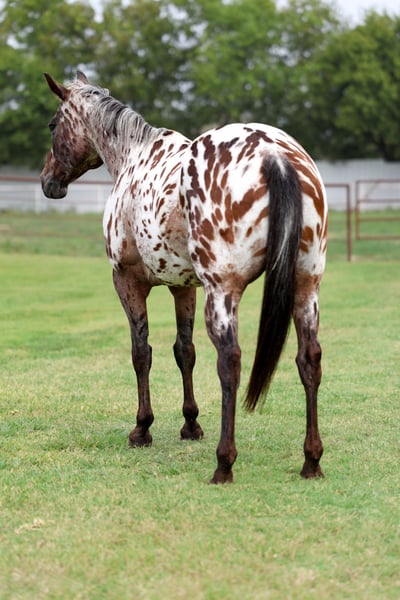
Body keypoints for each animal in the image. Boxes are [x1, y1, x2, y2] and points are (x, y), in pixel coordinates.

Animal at [41, 71, 328, 484]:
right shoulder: (183, 287)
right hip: (306, 287)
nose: (49, 181)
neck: (134, 157)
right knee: (309, 359)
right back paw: (311, 460)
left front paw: (142, 428)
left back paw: (224, 463)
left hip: (223, 291)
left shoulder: (127, 280)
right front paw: (190, 424)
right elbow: (184, 351)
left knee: (230, 361)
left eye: (53, 125)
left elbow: (141, 352)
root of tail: (274, 155)